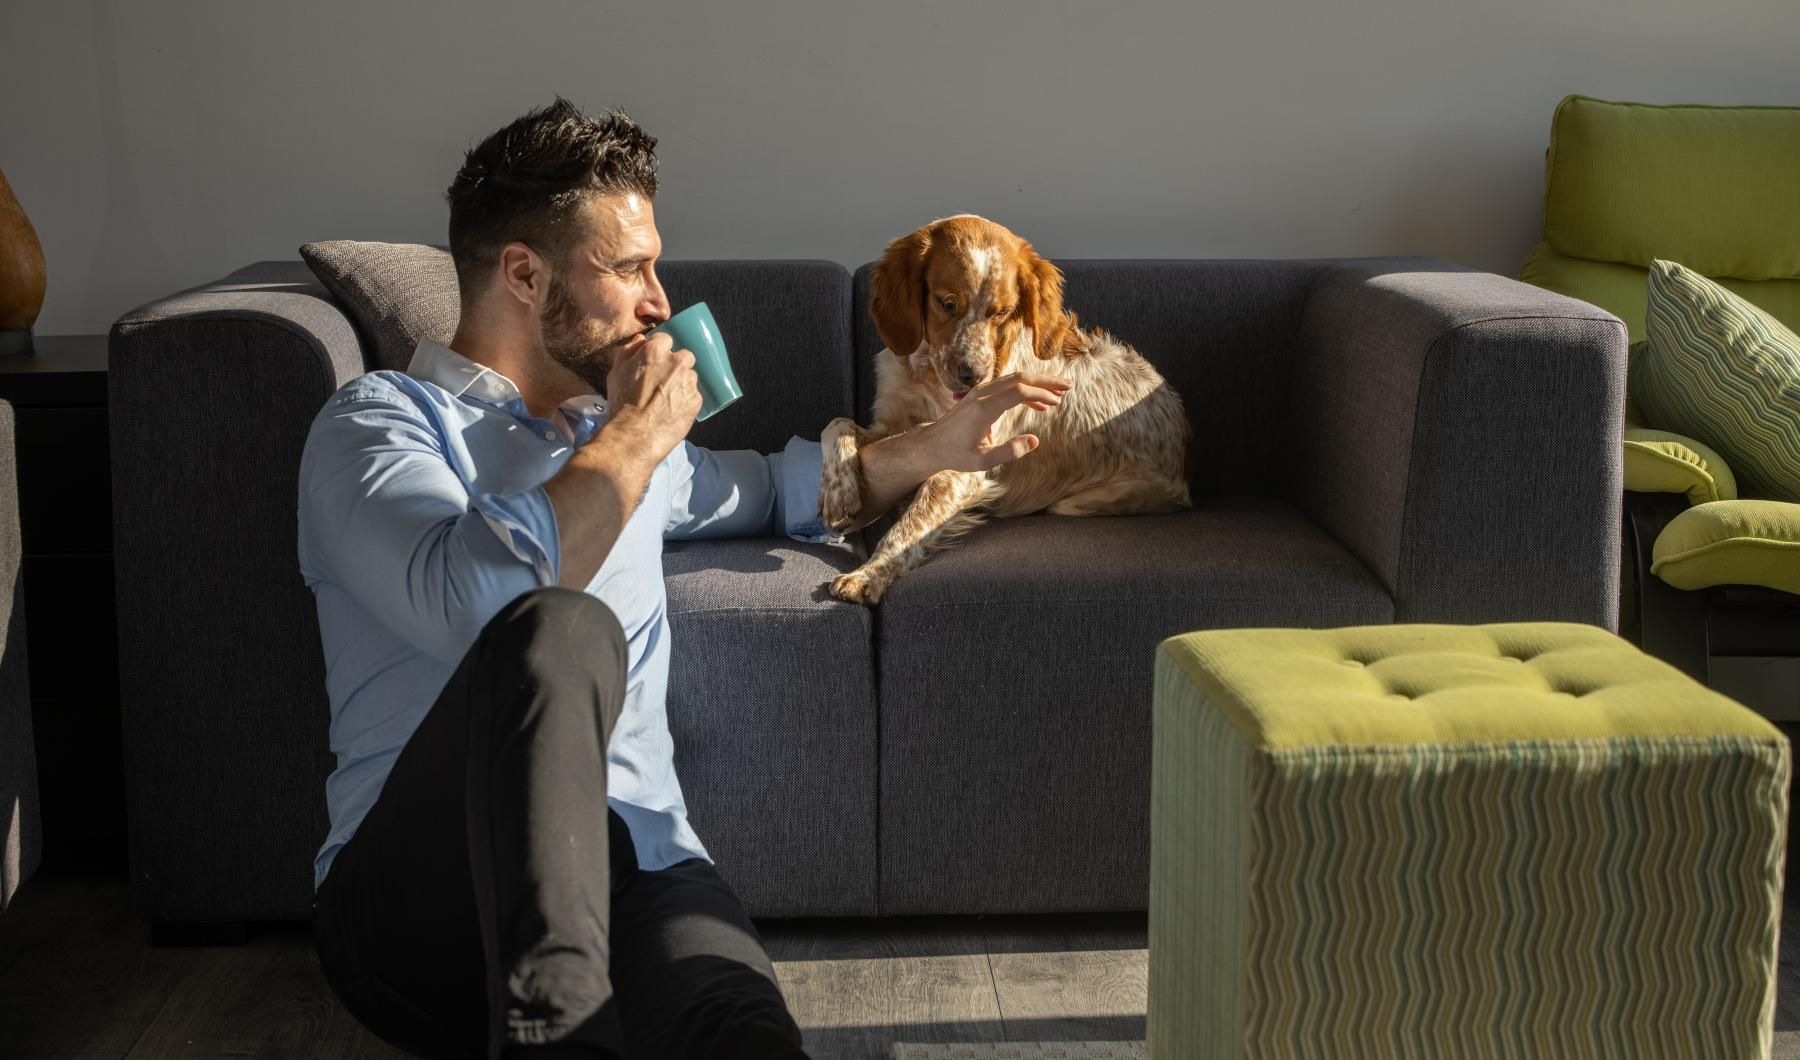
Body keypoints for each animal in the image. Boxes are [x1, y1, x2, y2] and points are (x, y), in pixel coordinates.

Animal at [820, 213, 1188, 604]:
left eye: (1003, 312)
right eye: (947, 303)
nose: (973, 376)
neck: (928, 376)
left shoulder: (964, 462)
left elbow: (910, 527)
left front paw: (867, 575)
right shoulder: (898, 426)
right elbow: (837, 424)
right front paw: (839, 495)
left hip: (1091, 499)